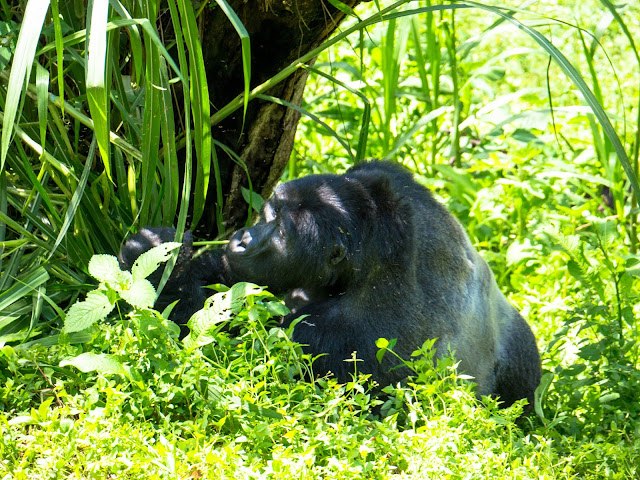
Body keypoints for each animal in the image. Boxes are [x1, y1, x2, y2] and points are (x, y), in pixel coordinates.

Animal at [119, 161, 540, 408]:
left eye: (281, 234)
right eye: (269, 211)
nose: (242, 240)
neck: (370, 254)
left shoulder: (340, 335)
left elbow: (229, 368)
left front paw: (156, 263)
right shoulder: (385, 178)